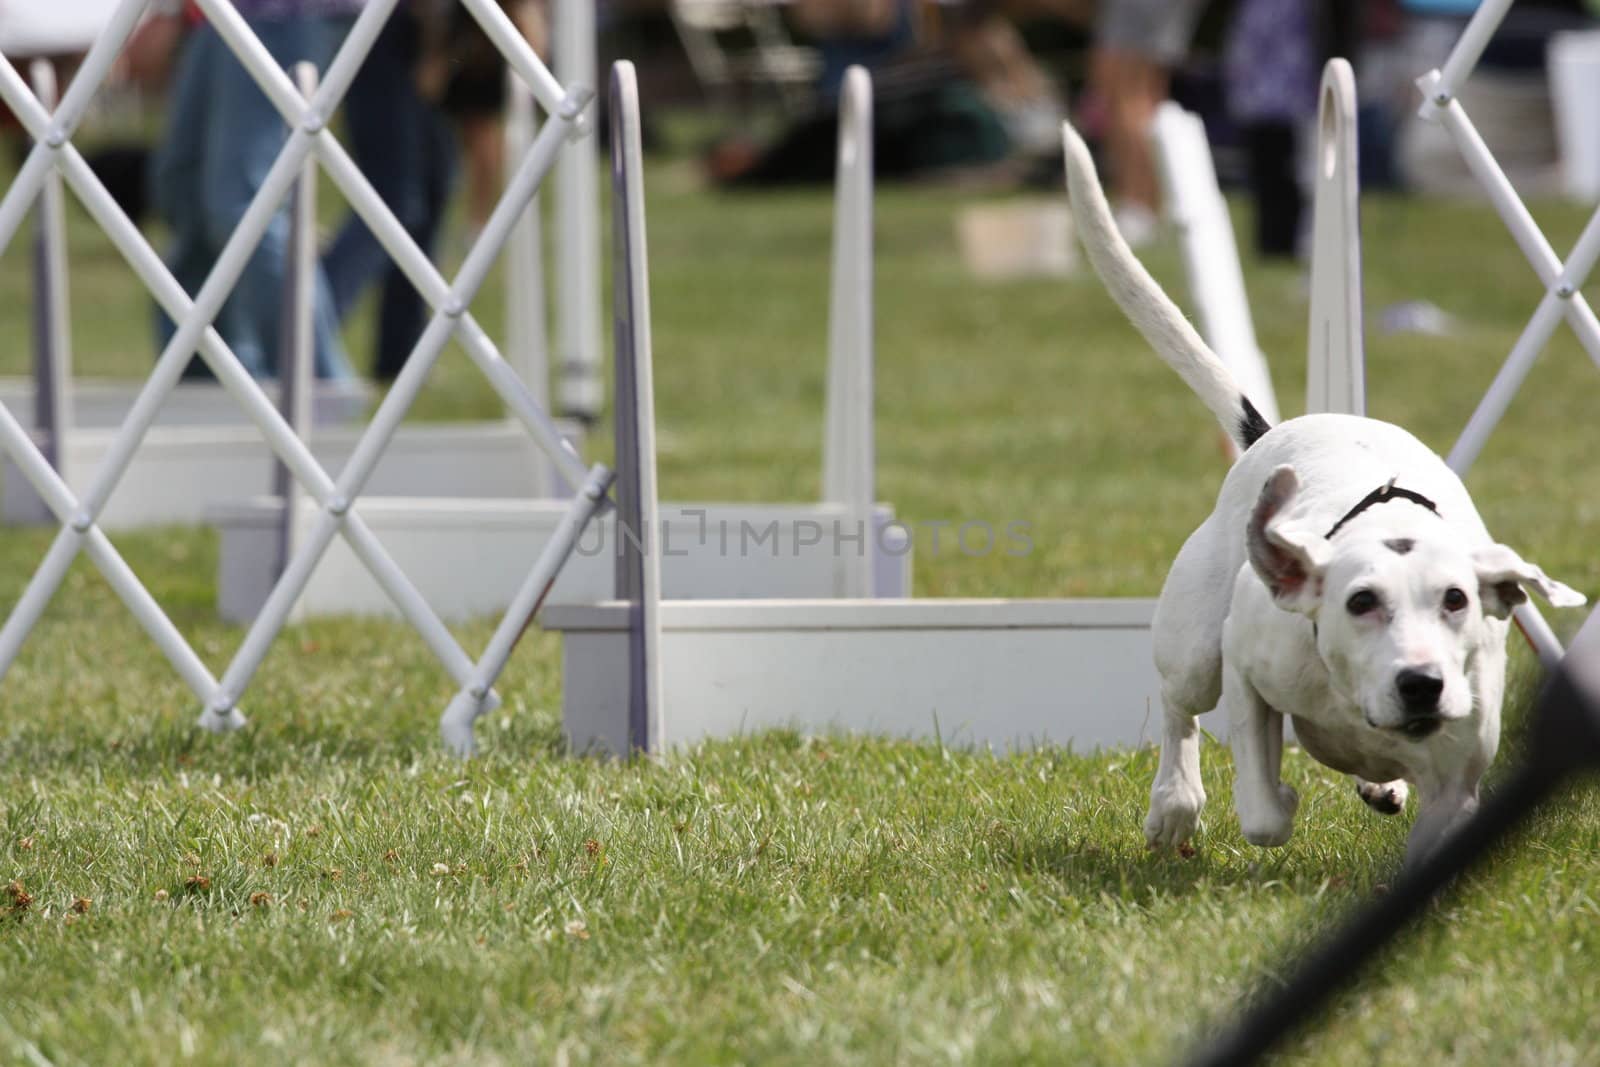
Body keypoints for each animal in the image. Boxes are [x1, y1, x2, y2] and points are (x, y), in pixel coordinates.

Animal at [1062, 123, 1587, 857]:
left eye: (1455, 599)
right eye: (1360, 600)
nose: (1421, 683)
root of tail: (1271, 430)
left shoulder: (1455, 781)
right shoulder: (1246, 665)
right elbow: (1262, 807)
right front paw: (1271, 796)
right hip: (1192, 643)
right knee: (1178, 708)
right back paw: (1174, 804)